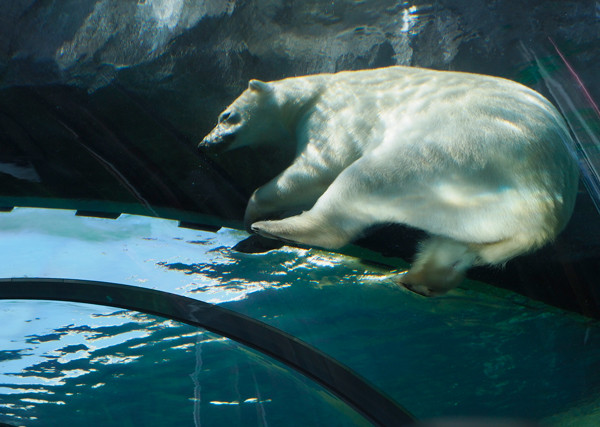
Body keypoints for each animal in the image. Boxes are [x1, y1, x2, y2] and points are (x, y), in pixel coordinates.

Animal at [199, 67, 580, 298]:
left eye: (225, 115)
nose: (204, 144)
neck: (316, 90)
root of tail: (544, 210)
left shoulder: (332, 116)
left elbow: (316, 170)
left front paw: (251, 212)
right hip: (486, 213)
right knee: (455, 243)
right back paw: (419, 280)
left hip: (454, 158)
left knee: (365, 180)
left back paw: (277, 228)